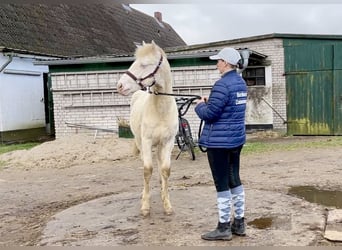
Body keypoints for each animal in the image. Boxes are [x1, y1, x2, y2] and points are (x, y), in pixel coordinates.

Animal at [116, 41, 178, 217]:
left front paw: (167, 204)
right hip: (140, 142)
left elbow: (165, 170)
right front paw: (145, 206)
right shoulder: (146, 141)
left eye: (144, 64)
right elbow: (147, 170)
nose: (120, 86)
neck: (161, 110)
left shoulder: (168, 143)